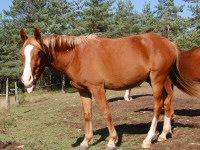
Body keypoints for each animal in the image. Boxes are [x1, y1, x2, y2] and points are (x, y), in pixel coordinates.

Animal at [19, 27, 198, 149]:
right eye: (22, 53)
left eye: (39, 53)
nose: (26, 81)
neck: (76, 55)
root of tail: (169, 43)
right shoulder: (84, 91)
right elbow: (87, 115)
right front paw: (86, 141)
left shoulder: (97, 88)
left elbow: (106, 113)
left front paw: (112, 141)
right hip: (162, 80)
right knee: (167, 104)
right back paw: (163, 134)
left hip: (157, 80)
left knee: (157, 107)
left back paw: (148, 139)